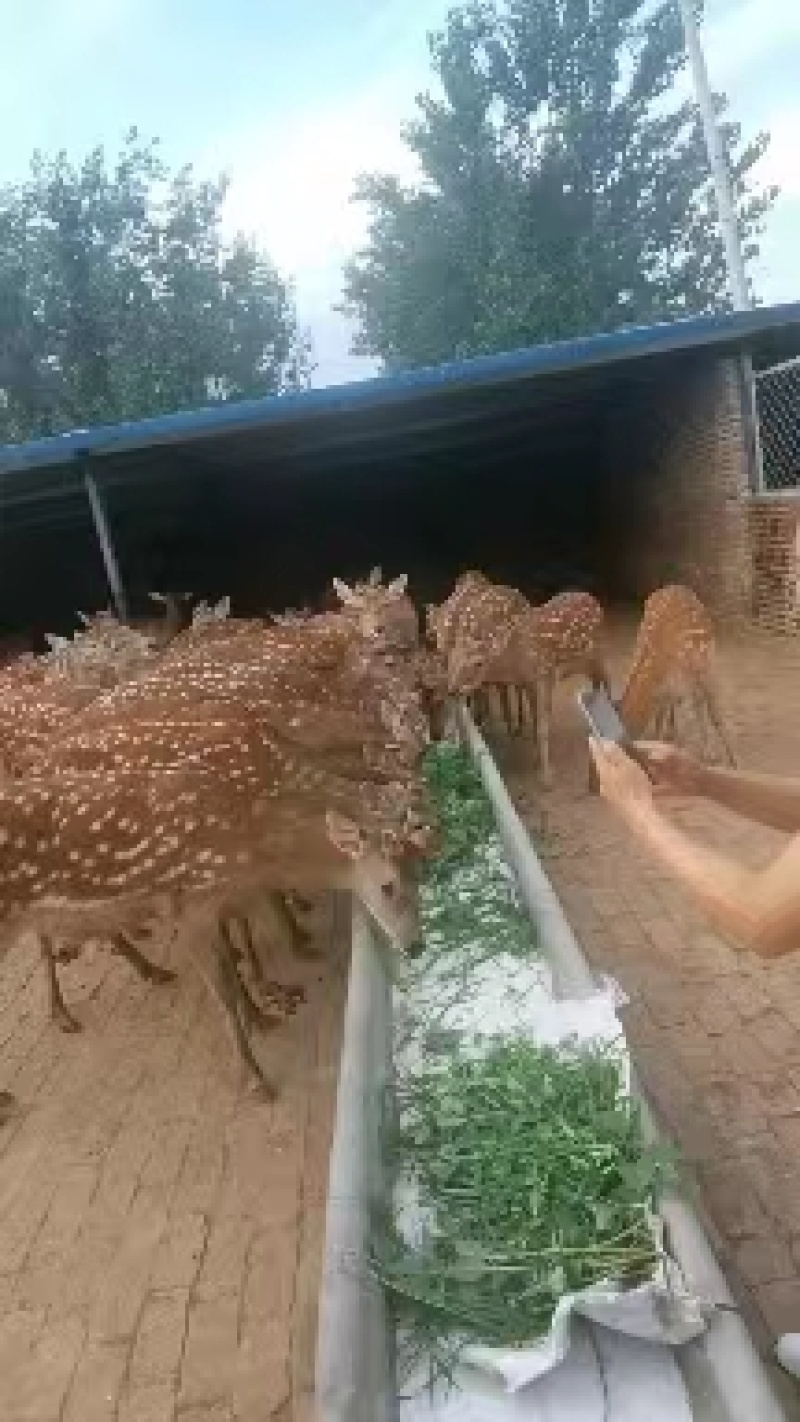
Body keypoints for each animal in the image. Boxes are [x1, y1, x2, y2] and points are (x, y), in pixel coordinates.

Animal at [616, 584, 735, 765]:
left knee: (701, 706)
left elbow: (710, 712)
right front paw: (661, 740)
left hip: (705, 664)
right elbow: (665, 708)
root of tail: (677, 586)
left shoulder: (698, 671)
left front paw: (729, 759)